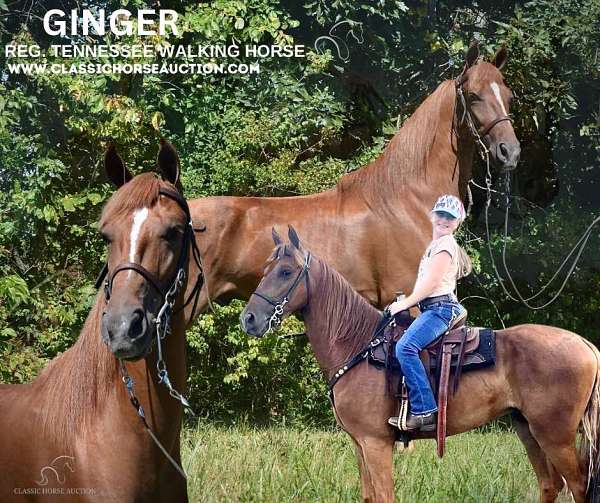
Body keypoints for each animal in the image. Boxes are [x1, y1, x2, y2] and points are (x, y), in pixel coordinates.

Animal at [240, 228, 600, 503]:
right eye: (265, 270)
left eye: (286, 272)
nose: (249, 319)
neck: (357, 345)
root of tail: (586, 346)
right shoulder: (360, 444)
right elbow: (369, 496)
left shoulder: (375, 444)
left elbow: (385, 497)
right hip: (528, 429)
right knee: (550, 485)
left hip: (555, 435)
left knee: (579, 485)